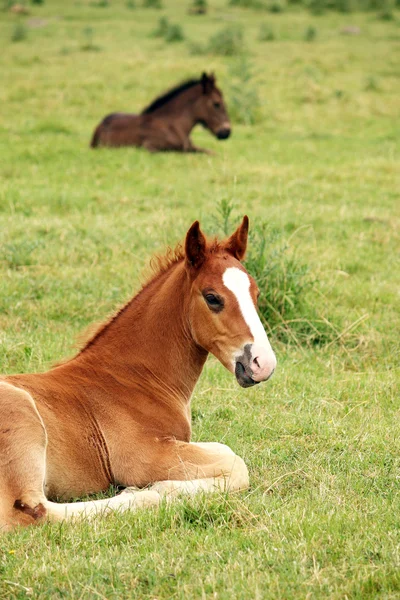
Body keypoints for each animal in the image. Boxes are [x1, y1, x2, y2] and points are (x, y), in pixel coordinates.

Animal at [0, 218, 276, 532]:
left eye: (256, 295)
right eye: (212, 298)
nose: (263, 363)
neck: (133, 377)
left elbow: (225, 450)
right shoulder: (142, 456)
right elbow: (237, 465)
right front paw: (162, 487)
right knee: (33, 514)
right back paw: (142, 496)